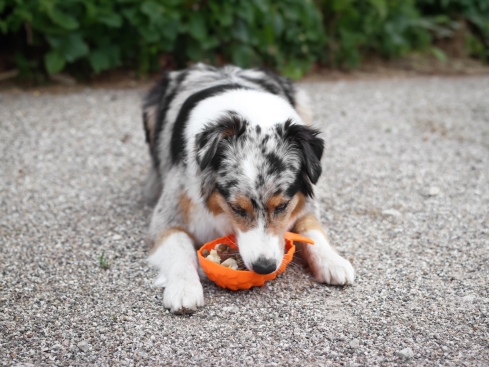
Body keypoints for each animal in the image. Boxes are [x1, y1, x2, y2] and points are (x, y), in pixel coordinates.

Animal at [143, 63, 352, 314]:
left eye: (281, 206)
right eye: (237, 209)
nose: (264, 267)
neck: (253, 114)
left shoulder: (304, 204)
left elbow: (312, 229)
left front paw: (332, 261)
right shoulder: (167, 216)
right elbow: (179, 247)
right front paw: (184, 289)